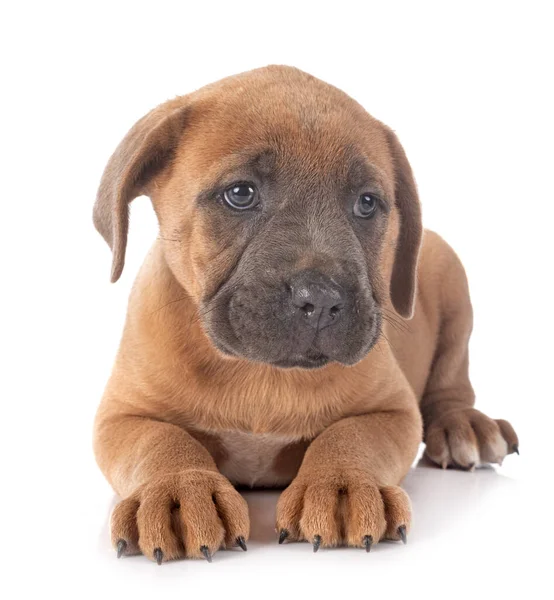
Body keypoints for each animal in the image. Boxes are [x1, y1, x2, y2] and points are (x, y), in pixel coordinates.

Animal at [91, 65, 516, 564]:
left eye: (367, 203)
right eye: (240, 194)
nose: (322, 299)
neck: (258, 374)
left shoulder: (393, 411)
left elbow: (351, 434)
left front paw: (343, 484)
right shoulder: (120, 417)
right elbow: (159, 441)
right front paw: (179, 488)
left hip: (451, 278)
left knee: (452, 380)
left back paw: (463, 424)